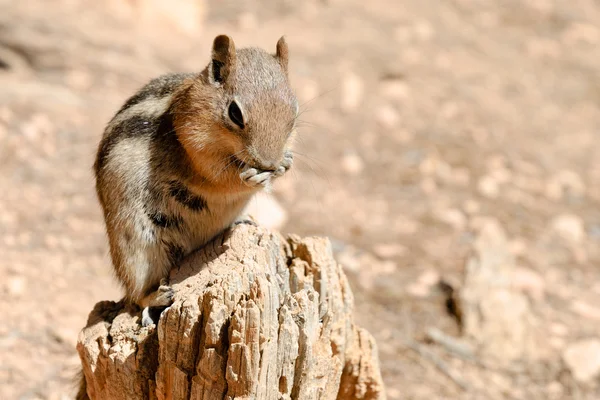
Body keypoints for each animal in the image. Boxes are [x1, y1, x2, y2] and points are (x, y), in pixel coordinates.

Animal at [94, 34, 298, 328]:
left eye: (294, 111)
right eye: (235, 113)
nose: (268, 163)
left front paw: (285, 163)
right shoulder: (192, 148)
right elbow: (217, 179)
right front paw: (250, 177)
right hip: (135, 246)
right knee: (136, 294)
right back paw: (154, 298)